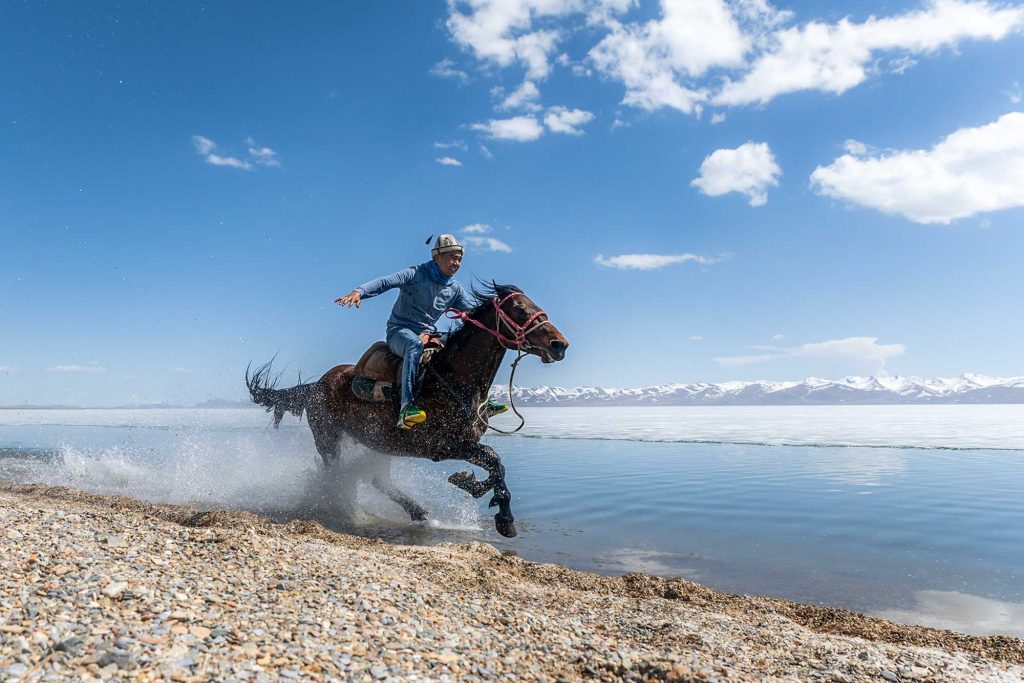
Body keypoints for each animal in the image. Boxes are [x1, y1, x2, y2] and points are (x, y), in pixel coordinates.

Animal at [246, 283, 569, 538]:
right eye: (519, 310)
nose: (559, 344)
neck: (453, 379)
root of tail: (316, 385)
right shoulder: (442, 446)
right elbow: (494, 459)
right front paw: (496, 511)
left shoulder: (465, 443)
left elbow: (495, 466)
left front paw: (473, 487)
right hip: (328, 440)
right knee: (334, 477)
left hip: (379, 444)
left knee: (378, 480)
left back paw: (421, 514)